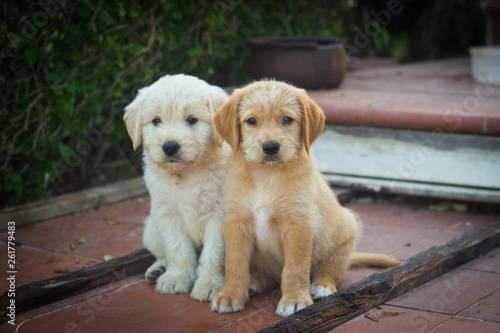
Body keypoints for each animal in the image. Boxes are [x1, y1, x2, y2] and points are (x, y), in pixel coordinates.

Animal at [124, 74, 229, 300]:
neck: (186, 174)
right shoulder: (168, 214)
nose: (170, 147)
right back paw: (158, 270)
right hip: (151, 231)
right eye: (156, 121)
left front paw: (209, 284)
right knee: (162, 253)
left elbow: (213, 253)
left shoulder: (220, 215)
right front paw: (176, 278)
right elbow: (177, 249)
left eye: (191, 119)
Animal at [211, 79, 402, 316]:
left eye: (287, 119)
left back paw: (321, 285)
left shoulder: (299, 223)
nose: (271, 147)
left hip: (346, 233)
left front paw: (294, 299)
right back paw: (254, 281)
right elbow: (234, 262)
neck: (266, 175)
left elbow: (295, 267)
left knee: (330, 269)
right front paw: (229, 295)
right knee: (266, 276)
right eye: (251, 121)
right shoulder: (235, 222)